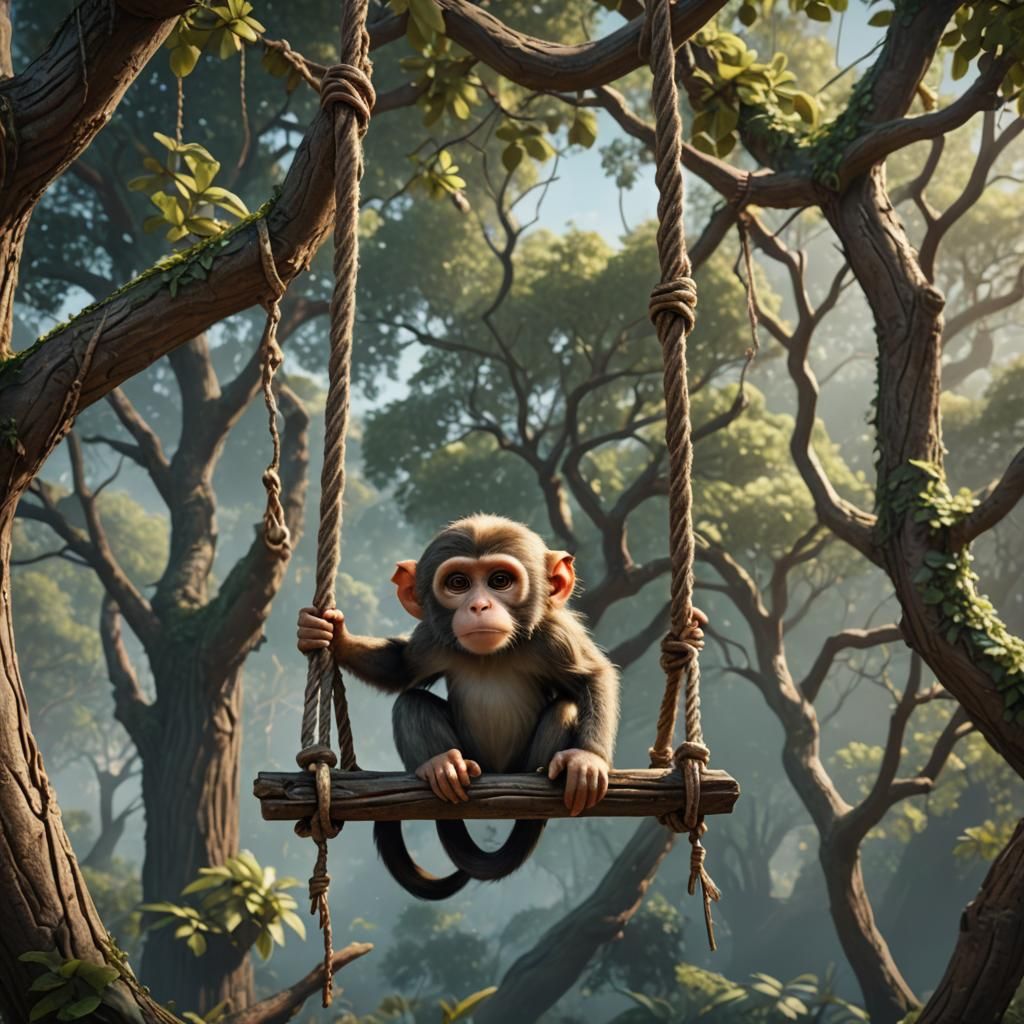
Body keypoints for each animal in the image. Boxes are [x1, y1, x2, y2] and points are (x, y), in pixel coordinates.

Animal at [296, 514, 623, 900]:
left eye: (499, 581)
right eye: (458, 583)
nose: (479, 606)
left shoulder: (555, 634)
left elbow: (592, 677)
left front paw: (587, 760)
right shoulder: (433, 637)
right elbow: (400, 668)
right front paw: (332, 635)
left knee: (567, 708)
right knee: (411, 703)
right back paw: (442, 767)